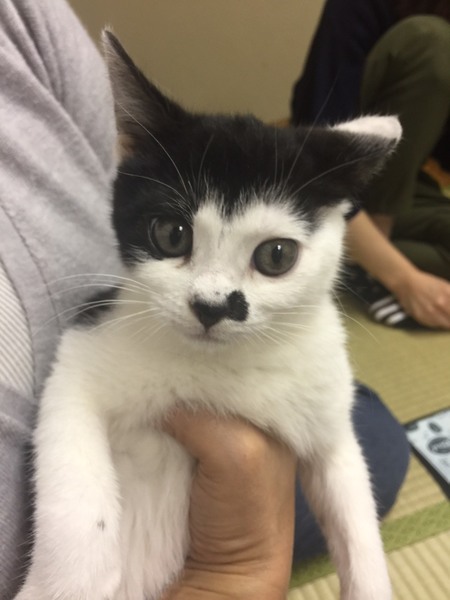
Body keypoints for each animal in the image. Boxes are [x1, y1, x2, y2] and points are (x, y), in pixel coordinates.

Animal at [15, 31, 401, 600]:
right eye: (171, 234)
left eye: (276, 255)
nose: (213, 305)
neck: (216, 369)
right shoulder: (83, 352)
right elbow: (78, 501)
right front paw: (65, 584)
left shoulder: (330, 422)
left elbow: (357, 518)